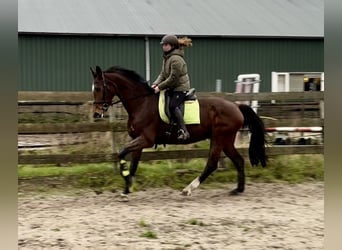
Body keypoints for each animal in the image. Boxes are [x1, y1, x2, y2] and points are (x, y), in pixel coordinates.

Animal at [89, 65, 266, 197]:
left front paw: (126, 178)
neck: (141, 103)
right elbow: (133, 163)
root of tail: (236, 106)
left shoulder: (146, 139)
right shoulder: (138, 140)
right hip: (225, 140)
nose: (96, 114)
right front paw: (127, 188)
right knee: (238, 160)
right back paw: (238, 189)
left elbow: (121, 152)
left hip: (220, 137)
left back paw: (188, 189)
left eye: (98, 88)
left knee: (212, 163)